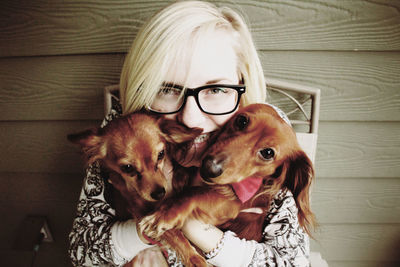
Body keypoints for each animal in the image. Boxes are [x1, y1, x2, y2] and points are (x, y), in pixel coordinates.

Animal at [67, 113, 208, 267]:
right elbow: (173, 233)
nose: (159, 193)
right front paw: (193, 258)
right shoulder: (141, 211)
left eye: (161, 154)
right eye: (128, 168)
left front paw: (181, 176)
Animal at [140, 103, 316, 250]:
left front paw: (163, 215)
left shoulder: (232, 205)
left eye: (268, 153)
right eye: (242, 121)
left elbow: (194, 193)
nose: (209, 167)